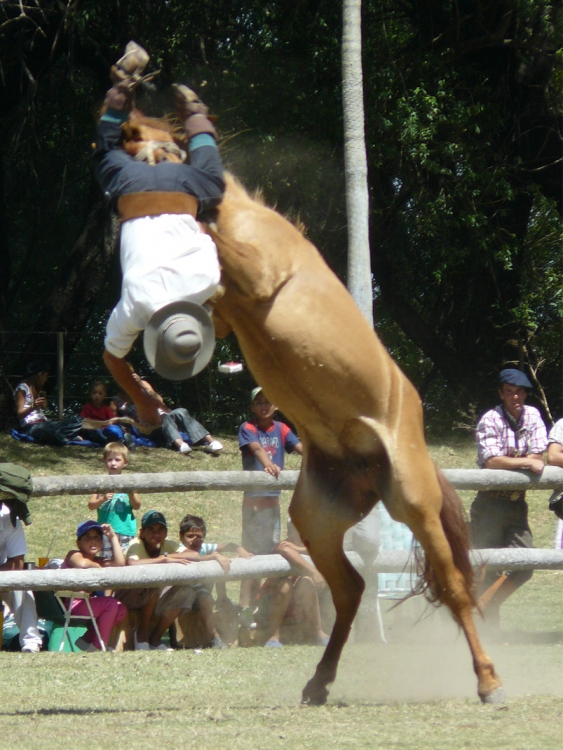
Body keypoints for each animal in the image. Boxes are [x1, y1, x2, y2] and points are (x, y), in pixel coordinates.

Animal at [209, 173, 504, 708]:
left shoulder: (256, 272)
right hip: (317, 518)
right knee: (349, 589)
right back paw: (318, 681)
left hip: (413, 501)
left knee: (451, 584)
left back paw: (488, 681)